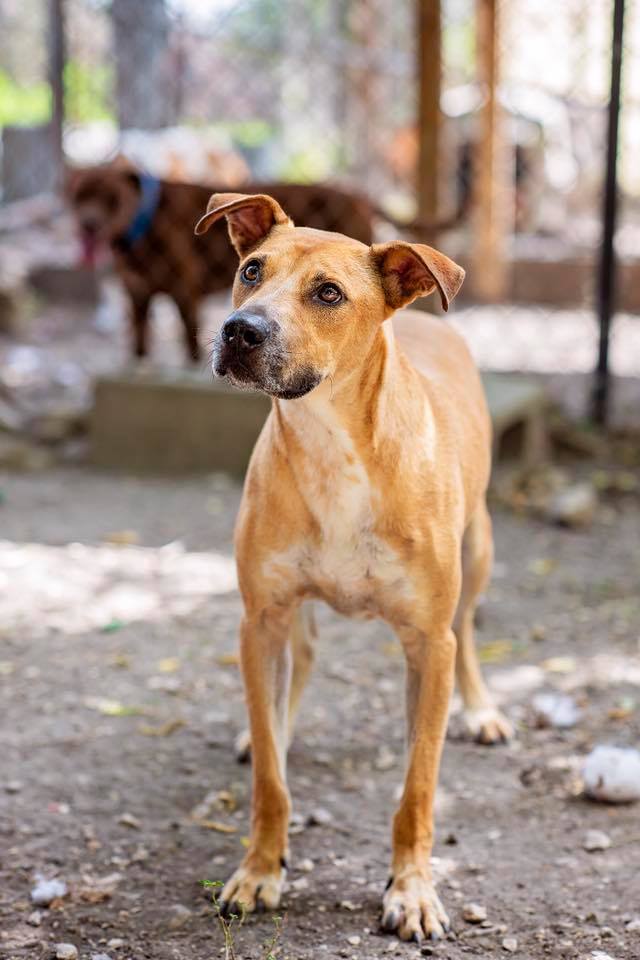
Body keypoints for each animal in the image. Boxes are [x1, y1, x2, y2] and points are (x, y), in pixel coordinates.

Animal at [67, 165, 382, 364]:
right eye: (78, 196)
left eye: (112, 198)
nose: (88, 224)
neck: (146, 221)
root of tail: (359, 197)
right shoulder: (138, 296)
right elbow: (139, 347)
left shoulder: (186, 294)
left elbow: (190, 348)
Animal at [195, 191, 510, 940]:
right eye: (251, 270)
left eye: (328, 293)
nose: (239, 331)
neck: (331, 441)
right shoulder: (261, 619)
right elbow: (271, 780)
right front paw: (259, 871)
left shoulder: (428, 642)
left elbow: (418, 786)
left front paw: (413, 890)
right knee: (299, 665)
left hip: (478, 550)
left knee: (470, 631)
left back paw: (480, 709)